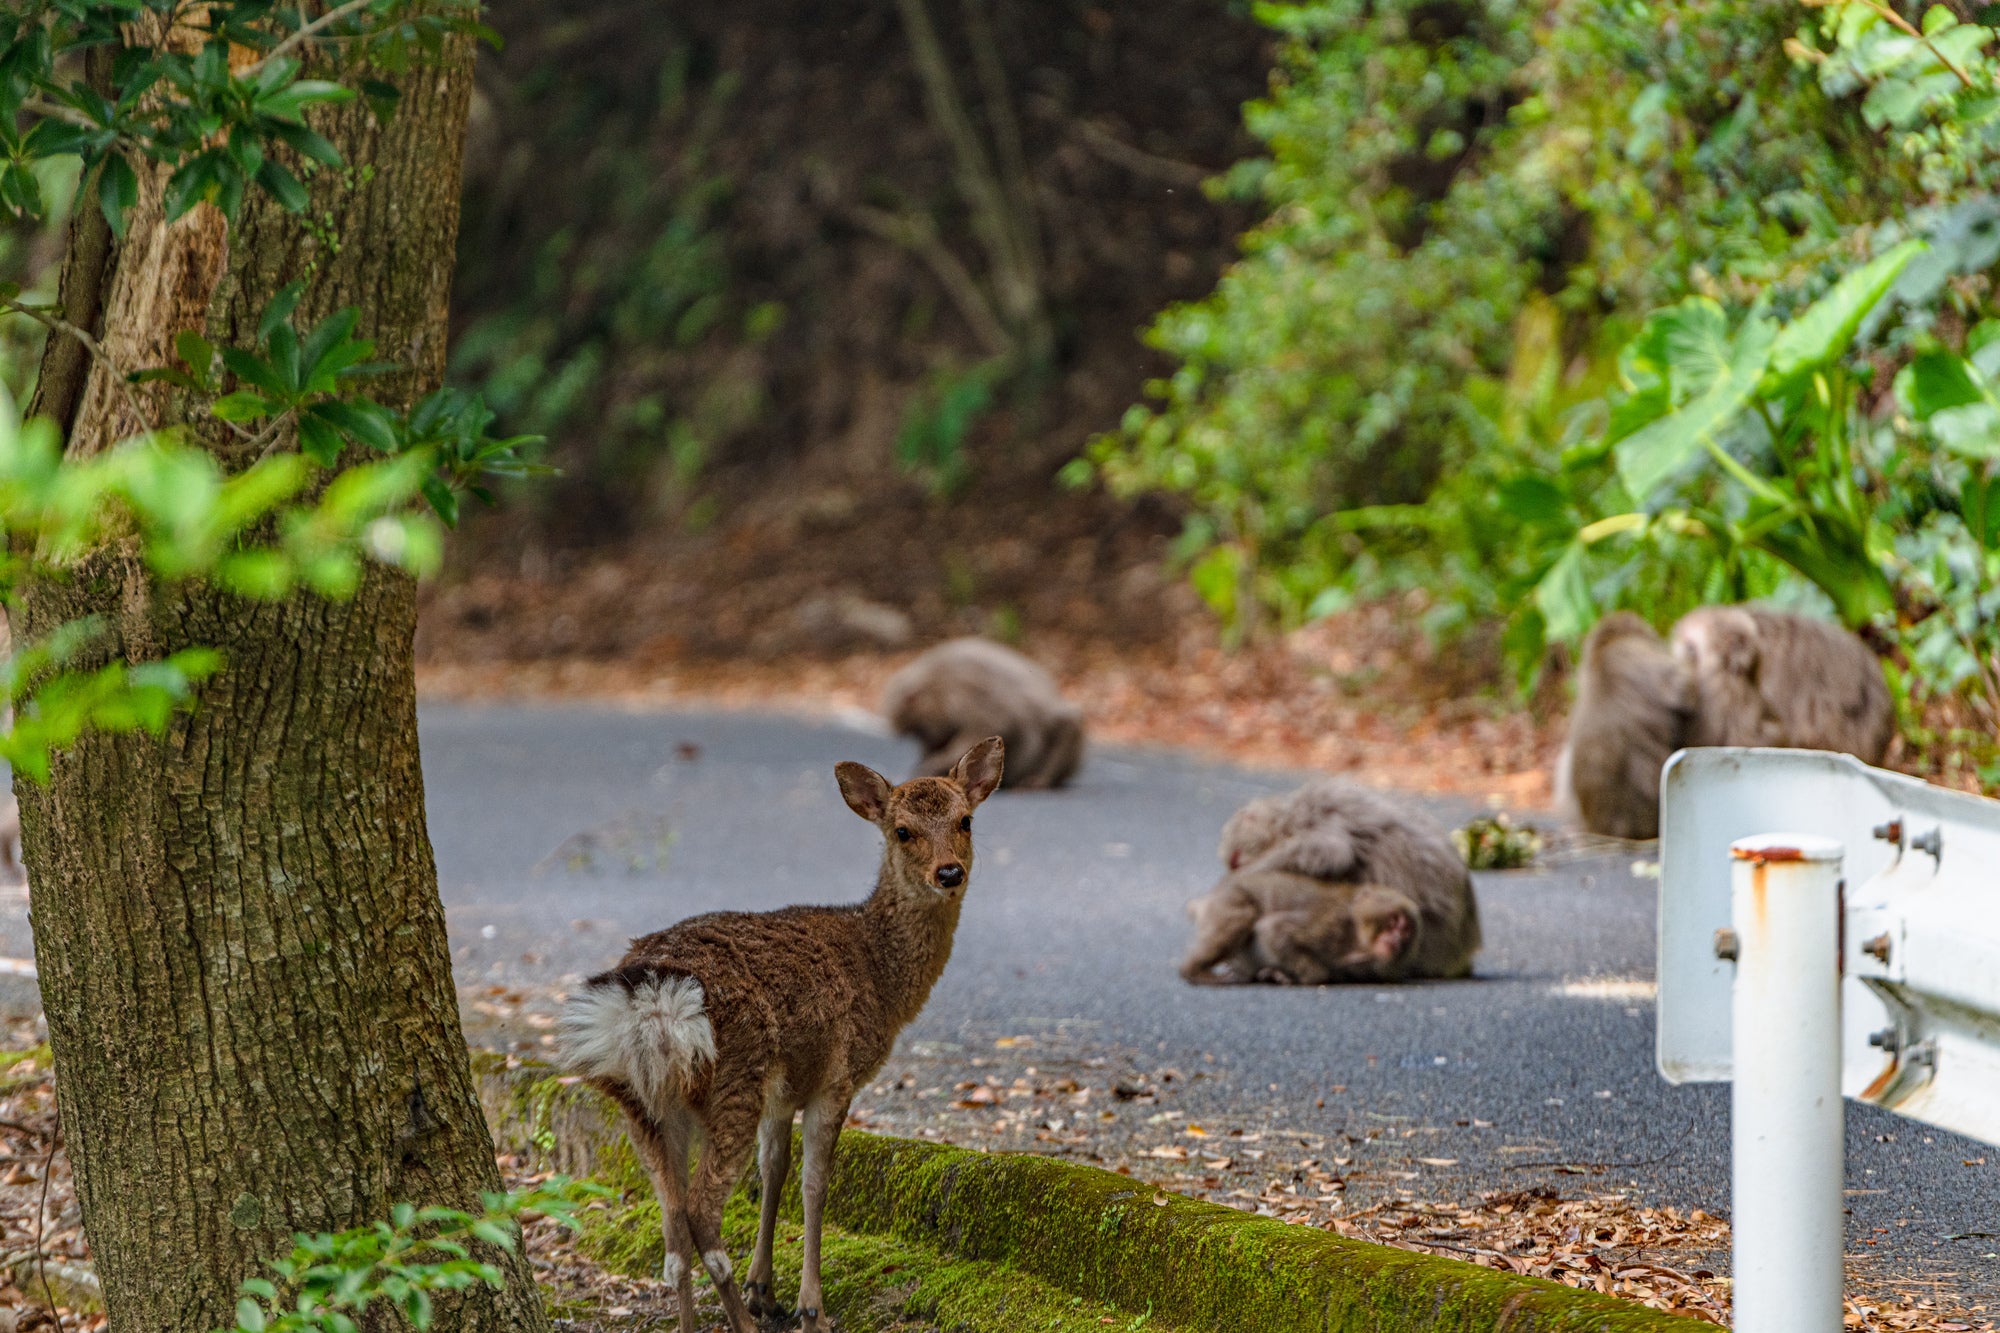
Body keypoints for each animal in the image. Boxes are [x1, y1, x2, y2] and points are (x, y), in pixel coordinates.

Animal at [560, 732, 1000, 1328]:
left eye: (966, 820)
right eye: (902, 830)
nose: (950, 873)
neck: (882, 977)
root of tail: (644, 1003)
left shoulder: (784, 1091)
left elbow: (774, 1172)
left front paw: (763, 1288)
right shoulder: (837, 1075)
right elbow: (815, 1183)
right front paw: (810, 1306)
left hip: (643, 1102)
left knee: (672, 1225)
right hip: (733, 1079)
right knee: (700, 1213)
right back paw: (743, 1323)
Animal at [884, 636, 1088, 788]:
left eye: (918, 730)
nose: (928, 742)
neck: (937, 687)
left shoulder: (968, 695)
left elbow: (993, 726)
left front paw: (935, 762)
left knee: (1065, 725)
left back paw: (1042, 776)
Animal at [1184, 772, 1488, 980]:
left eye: (1234, 861)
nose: (1232, 868)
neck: (1290, 819)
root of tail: (1462, 956)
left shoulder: (1316, 816)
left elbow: (1330, 852)